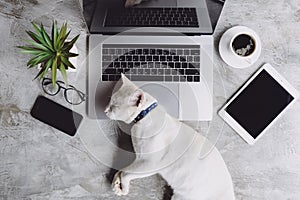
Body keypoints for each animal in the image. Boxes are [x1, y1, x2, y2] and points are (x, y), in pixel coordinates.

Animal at [105, 74, 234, 199]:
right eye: (110, 101)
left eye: (114, 106)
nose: (106, 110)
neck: (145, 117)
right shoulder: (139, 159)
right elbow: (123, 170)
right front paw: (116, 184)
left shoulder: (149, 163)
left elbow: (126, 173)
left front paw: (123, 188)